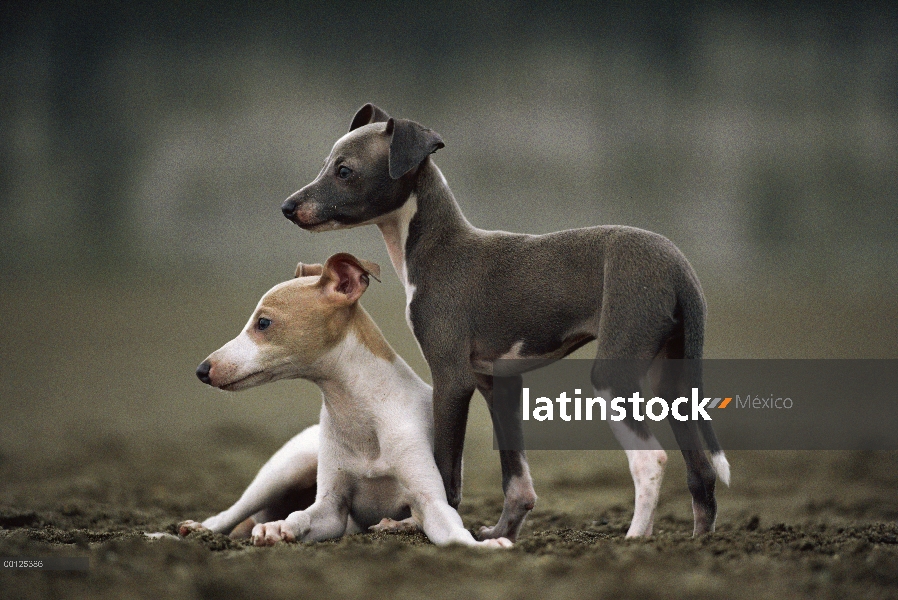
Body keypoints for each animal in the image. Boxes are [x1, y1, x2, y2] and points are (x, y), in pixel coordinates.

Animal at [180, 253, 512, 548]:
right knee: (230, 515)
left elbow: (454, 533)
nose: (202, 370)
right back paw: (193, 531)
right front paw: (277, 529)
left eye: (263, 323)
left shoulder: (431, 501)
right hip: (283, 470)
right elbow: (301, 516)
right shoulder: (332, 508)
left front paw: (489, 545)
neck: (362, 415)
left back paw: (394, 525)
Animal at [280, 103, 728, 540]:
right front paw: (501, 533)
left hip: (614, 374)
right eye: (325, 165)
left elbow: (445, 473)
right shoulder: (497, 382)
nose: (286, 208)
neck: (438, 250)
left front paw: (417, 525)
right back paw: (700, 541)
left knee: (651, 459)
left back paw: (635, 538)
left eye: (344, 171)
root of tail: (679, 267)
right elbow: (517, 482)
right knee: (701, 472)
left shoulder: (452, 378)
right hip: (671, 376)